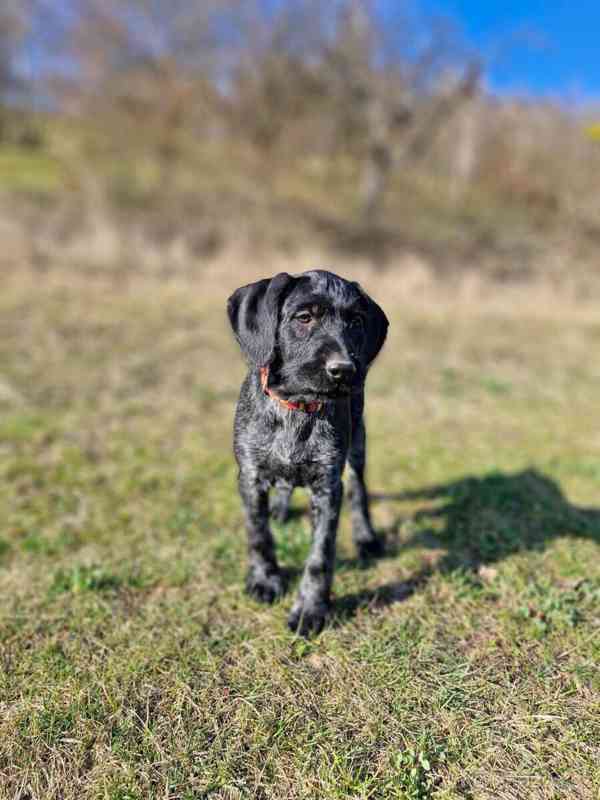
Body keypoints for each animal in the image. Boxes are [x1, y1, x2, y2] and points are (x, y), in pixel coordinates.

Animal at [226, 272, 390, 636]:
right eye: (304, 318)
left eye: (356, 322)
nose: (345, 370)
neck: (297, 407)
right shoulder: (250, 475)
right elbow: (258, 534)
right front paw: (265, 580)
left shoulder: (328, 487)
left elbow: (320, 555)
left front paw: (311, 609)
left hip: (358, 442)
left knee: (359, 488)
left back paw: (366, 537)